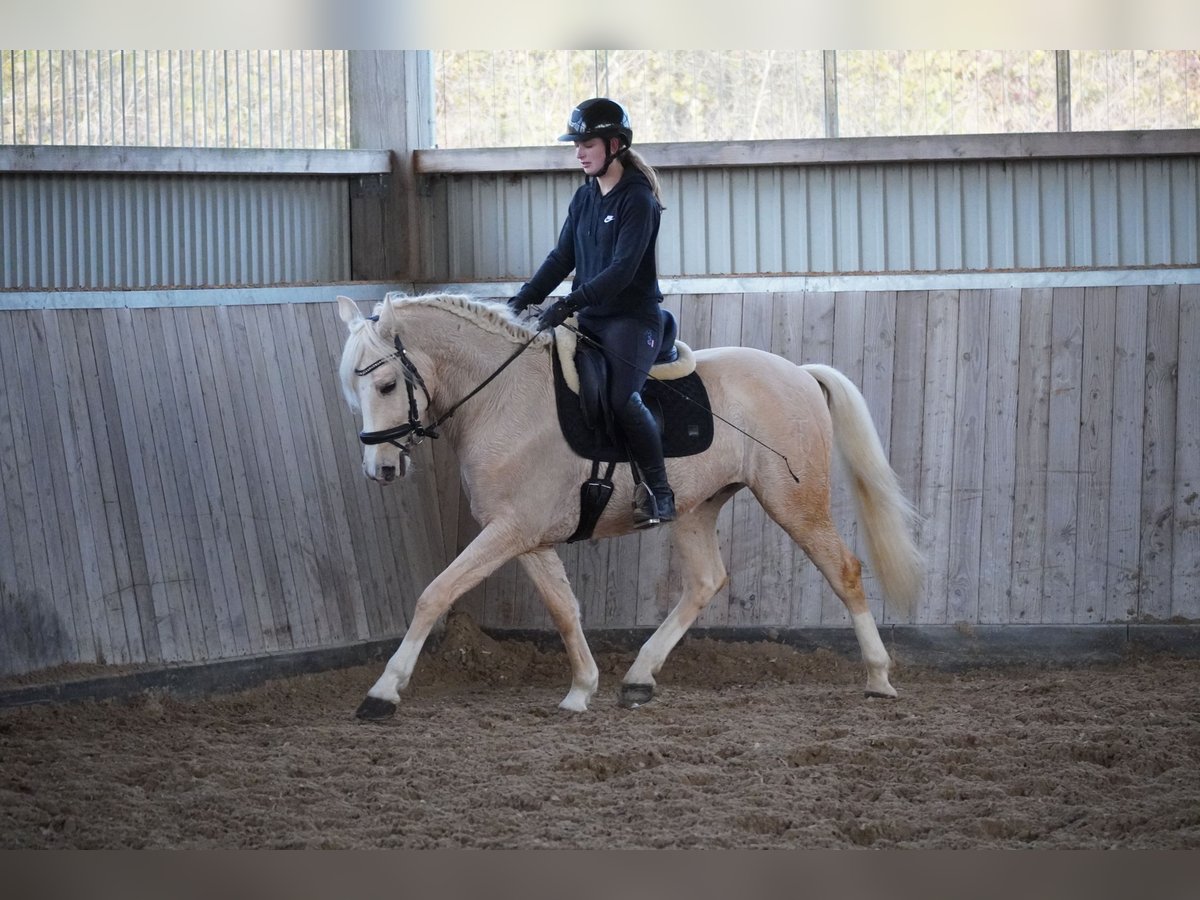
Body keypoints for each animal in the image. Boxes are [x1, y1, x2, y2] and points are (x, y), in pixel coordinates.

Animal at [338, 292, 926, 724]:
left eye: (386, 385)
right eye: (353, 390)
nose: (381, 469)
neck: (502, 399)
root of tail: (799, 373)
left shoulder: (509, 531)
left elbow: (435, 594)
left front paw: (383, 692)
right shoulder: (523, 534)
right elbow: (563, 609)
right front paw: (581, 689)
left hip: (794, 501)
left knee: (843, 570)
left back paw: (878, 677)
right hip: (697, 507)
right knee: (705, 581)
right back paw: (639, 677)